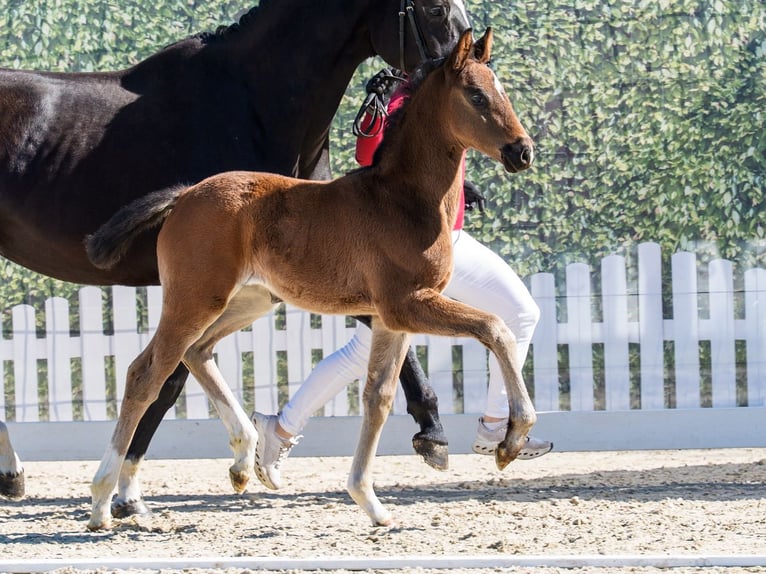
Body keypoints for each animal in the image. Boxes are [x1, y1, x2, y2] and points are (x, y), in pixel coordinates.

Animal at [84, 27, 537, 529]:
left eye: (502, 91)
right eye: (476, 95)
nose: (522, 151)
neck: (402, 200)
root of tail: (184, 195)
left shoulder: (392, 319)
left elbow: (378, 398)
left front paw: (370, 502)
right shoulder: (408, 303)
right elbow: (495, 329)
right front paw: (511, 439)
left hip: (249, 300)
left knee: (197, 353)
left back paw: (244, 460)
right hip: (195, 298)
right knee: (146, 373)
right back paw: (103, 501)